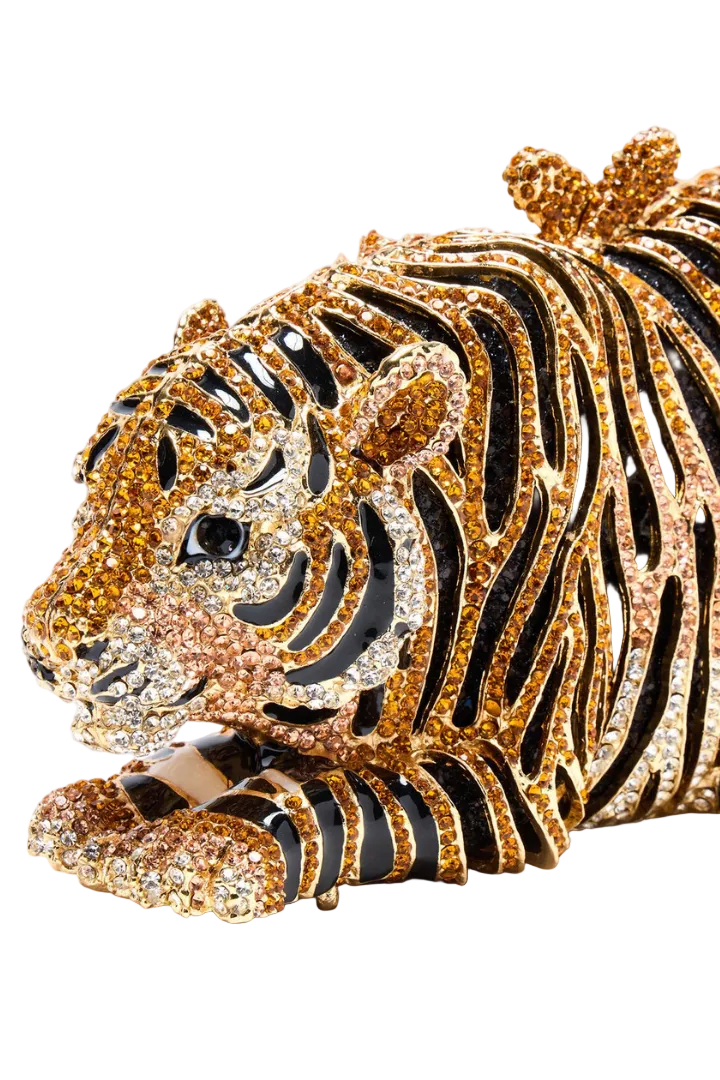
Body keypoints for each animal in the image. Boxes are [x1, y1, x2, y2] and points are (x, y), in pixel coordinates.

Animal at [23, 127, 719, 924]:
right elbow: (201, 755)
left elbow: (340, 795)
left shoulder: (510, 784)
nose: (45, 652)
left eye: (219, 537)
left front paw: (210, 845)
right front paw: (107, 810)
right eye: (91, 487)